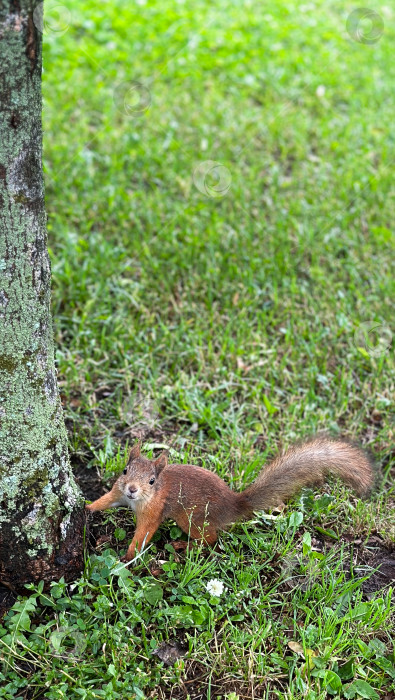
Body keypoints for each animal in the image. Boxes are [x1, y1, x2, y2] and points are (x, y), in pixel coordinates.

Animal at [86, 438, 374, 564]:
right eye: (125, 471)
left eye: (152, 481)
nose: (133, 489)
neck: (137, 501)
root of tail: (233, 506)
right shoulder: (118, 493)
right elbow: (107, 500)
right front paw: (87, 507)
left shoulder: (154, 511)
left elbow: (144, 533)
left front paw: (128, 555)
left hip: (190, 519)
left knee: (210, 540)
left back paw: (183, 545)